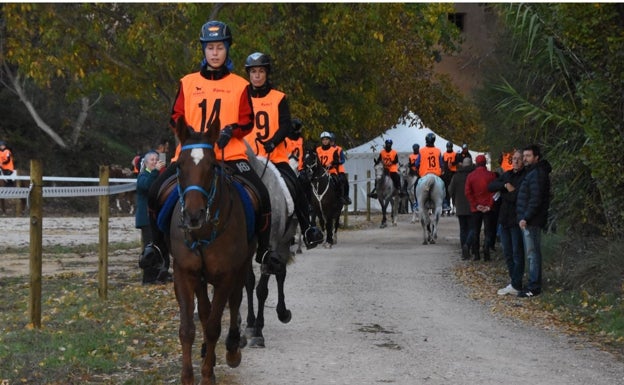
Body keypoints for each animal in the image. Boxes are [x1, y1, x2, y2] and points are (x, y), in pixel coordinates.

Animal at [166, 117, 256, 384]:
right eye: (180, 165)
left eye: (212, 166)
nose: (193, 215)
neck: (204, 231)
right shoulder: (184, 273)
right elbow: (188, 328)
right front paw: (188, 376)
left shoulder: (227, 275)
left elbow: (216, 325)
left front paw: (207, 375)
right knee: (205, 312)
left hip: (242, 266)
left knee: (235, 301)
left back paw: (232, 348)